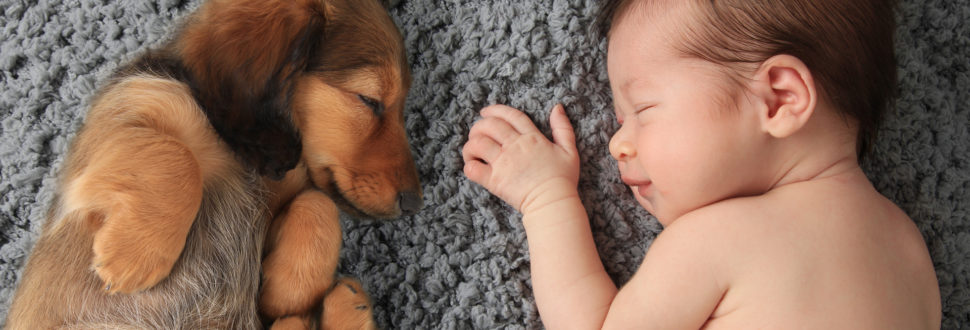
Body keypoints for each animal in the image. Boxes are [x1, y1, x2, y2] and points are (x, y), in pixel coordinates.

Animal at [5, 0, 418, 328]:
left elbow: (318, 204)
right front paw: (133, 255)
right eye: (368, 99)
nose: (415, 203)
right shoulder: (127, 111)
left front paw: (287, 292)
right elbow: (176, 155)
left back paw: (344, 306)